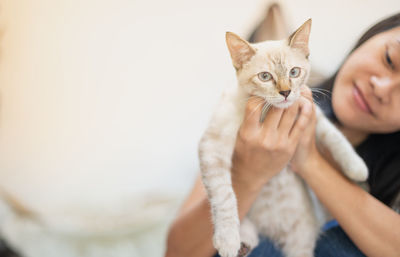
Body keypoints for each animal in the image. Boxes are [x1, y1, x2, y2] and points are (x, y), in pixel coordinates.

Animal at [198, 19, 368, 256]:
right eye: (265, 76)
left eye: (294, 72)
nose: (286, 93)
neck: (266, 111)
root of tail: (275, 233)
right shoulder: (213, 145)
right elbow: (223, 195)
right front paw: (227, 239)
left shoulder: (310, 112)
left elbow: (335, 136)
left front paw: (357, 168)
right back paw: (243, 242)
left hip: (300, 240)